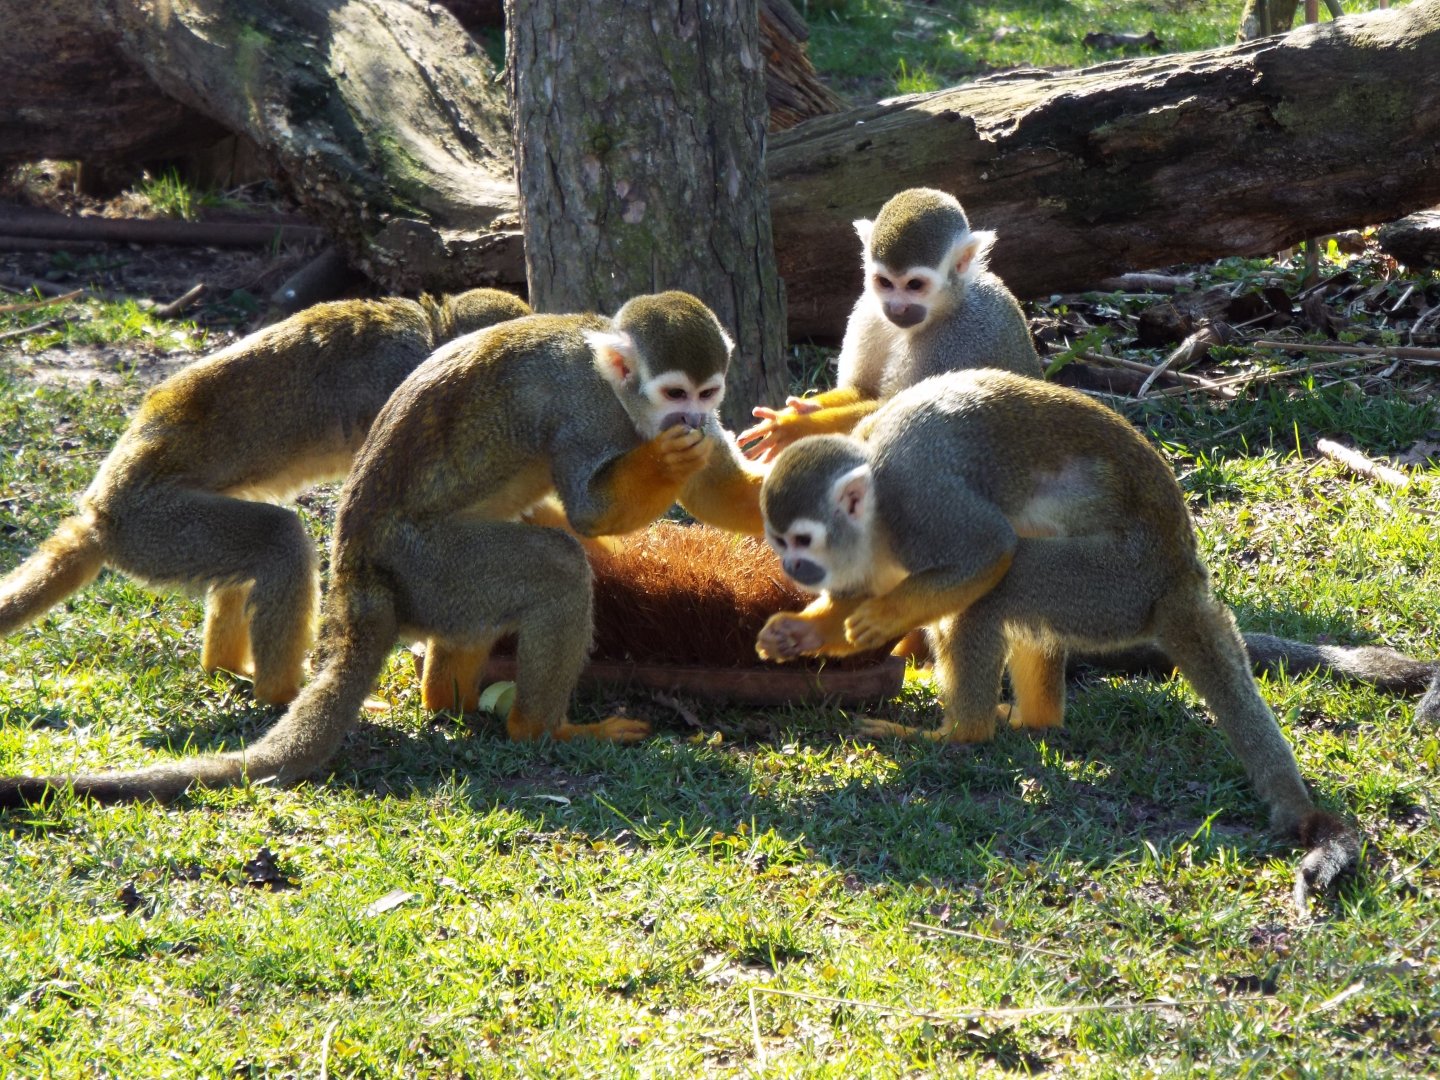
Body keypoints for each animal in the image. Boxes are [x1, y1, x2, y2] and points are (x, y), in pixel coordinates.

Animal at [0, 288, 531, 706]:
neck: (431, 333)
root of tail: (99, 515)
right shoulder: (405, 378)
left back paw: (225, 667)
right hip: (155, 528)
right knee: (280, 537)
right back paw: (283, 693)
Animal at [738, 187, 1042, 465]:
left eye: (915, 285)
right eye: (885, 282)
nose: (897, 308)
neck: (944, 307)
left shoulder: (959, 338)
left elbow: (905, 410)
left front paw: (797, 426)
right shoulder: (868, 311)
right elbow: (864, 390)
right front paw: (802, 409)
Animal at [754, 369, 1361, 905]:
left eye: (803, 539)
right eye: (779, 541)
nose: (794, 568)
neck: (874, 522)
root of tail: (1179, 576)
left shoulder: (920, 506)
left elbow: (990, 550)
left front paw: (882, 620)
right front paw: (801, 632)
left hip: (1113, 583)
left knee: (999, 585)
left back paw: (959, 735)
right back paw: (1034, 721)